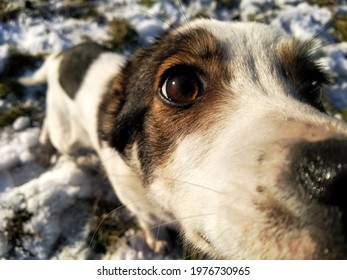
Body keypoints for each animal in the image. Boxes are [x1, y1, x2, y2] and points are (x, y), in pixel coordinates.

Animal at [18, 18, 347, 260]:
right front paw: (157, 241)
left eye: (314, 84)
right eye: (180, 86)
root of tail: (61, 56)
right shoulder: (135, 200)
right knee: (51, 129)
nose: (336, 170)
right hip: (66, 132)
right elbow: (149, 221)